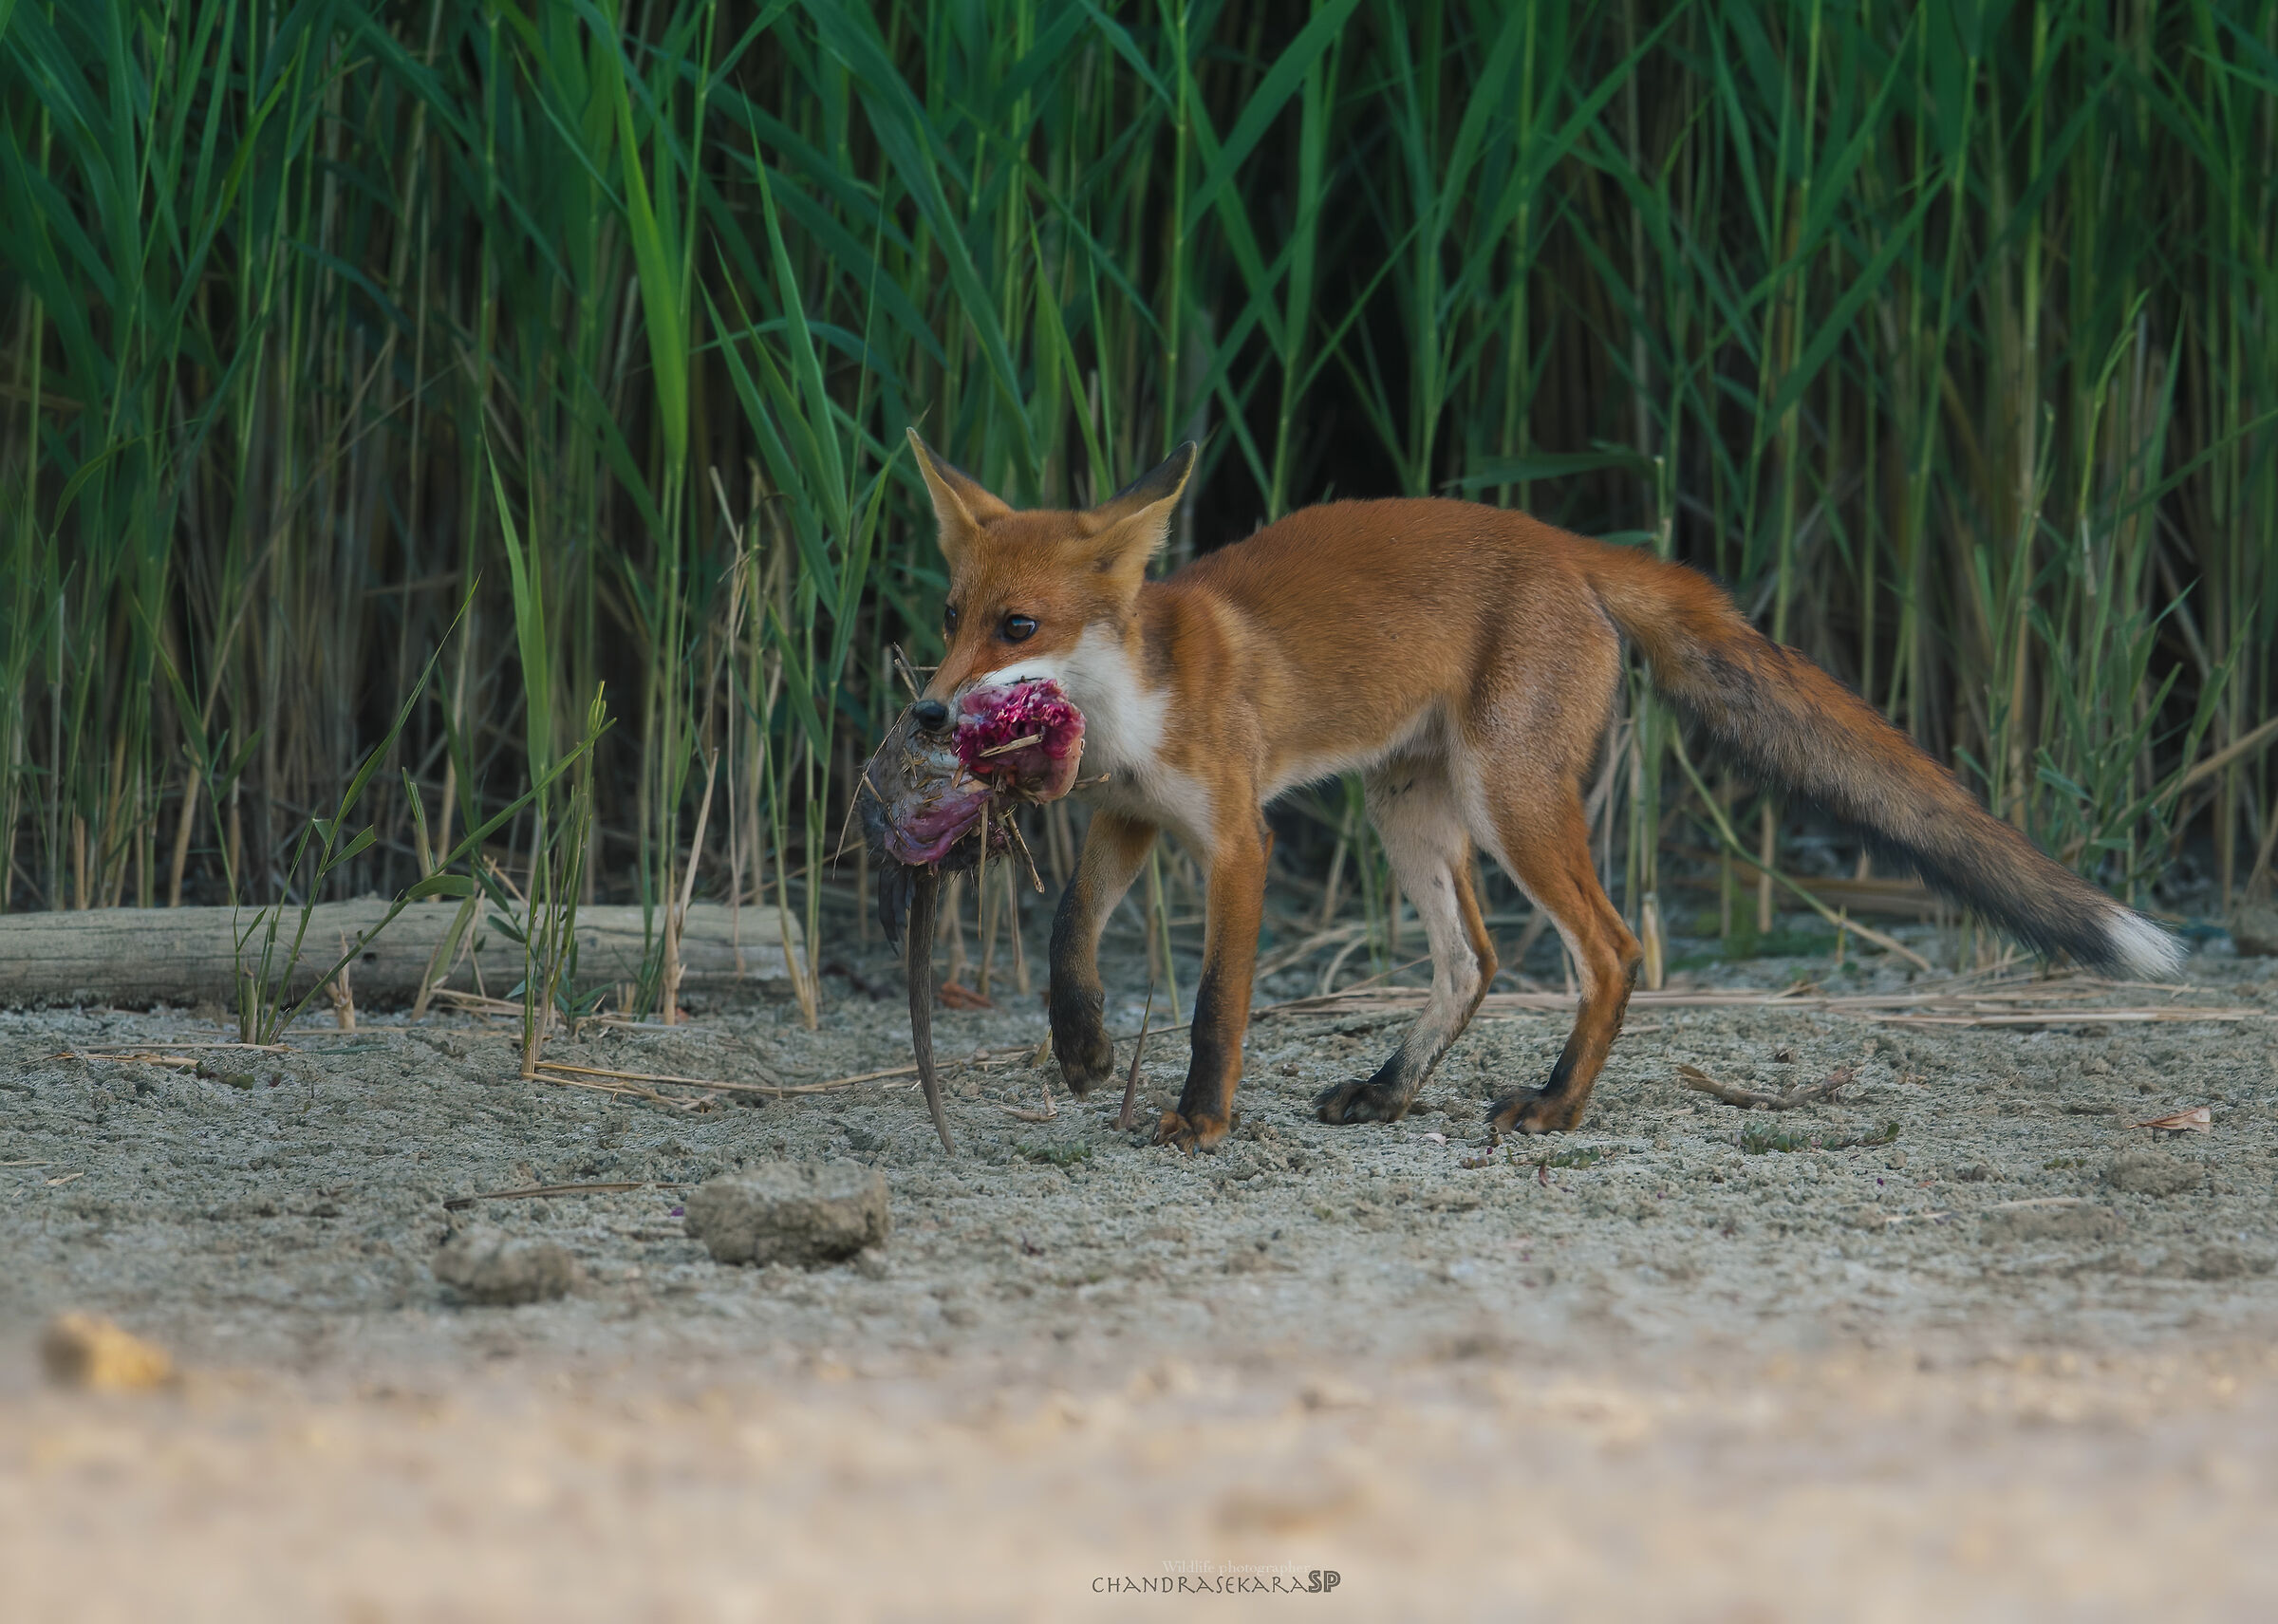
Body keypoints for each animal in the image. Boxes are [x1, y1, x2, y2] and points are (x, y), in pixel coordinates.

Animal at [904, 430, 2182, 1153]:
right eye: (951, 614)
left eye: (1019, 627)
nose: (926, 713)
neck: (1139, 698)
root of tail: (1567, 542)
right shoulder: (1128, 815)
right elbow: (1069, 933)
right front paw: (1079, 1048)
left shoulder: (1235, 839)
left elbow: (1219, 1000)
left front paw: (1200, 1120)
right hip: (1412, 806)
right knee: (1473, 960)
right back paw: (1390, 1091)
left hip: (1509, 797)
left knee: (1611, 949)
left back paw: (1557, 1109)